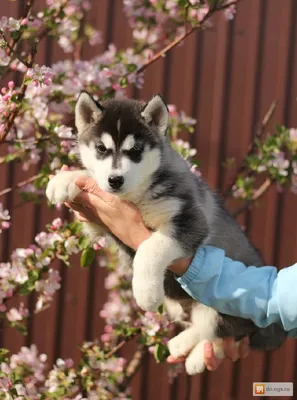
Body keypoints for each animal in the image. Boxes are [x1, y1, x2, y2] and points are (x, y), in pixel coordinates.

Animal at [46, 92, 286, 374]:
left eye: (135, 150)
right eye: (101, 149)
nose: (115, 180)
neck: (136, 195)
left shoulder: (188, 221)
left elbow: (150, 248)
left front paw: (146, 292)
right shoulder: (101, 224)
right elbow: (92, 184)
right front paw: (65, 180)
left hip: (226, 307)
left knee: (219, 330)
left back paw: (192, 353)